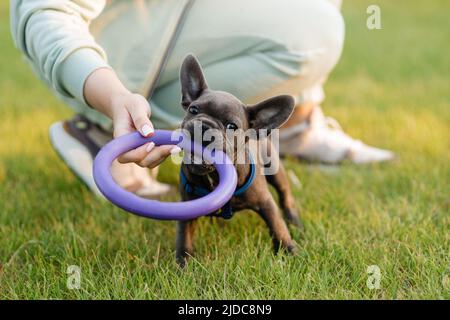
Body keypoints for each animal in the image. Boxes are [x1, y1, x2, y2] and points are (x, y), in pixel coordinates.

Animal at [176, 55, 302, 268]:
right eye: (193, 109)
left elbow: (277, 226)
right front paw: (182, 263)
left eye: (231, 126)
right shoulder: (187, 208)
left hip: (275, 170)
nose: (205, 125)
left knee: (285, 194)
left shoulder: (265, 203)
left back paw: (293, 219)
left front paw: (289, 250)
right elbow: (185, 236)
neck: (213, 177)